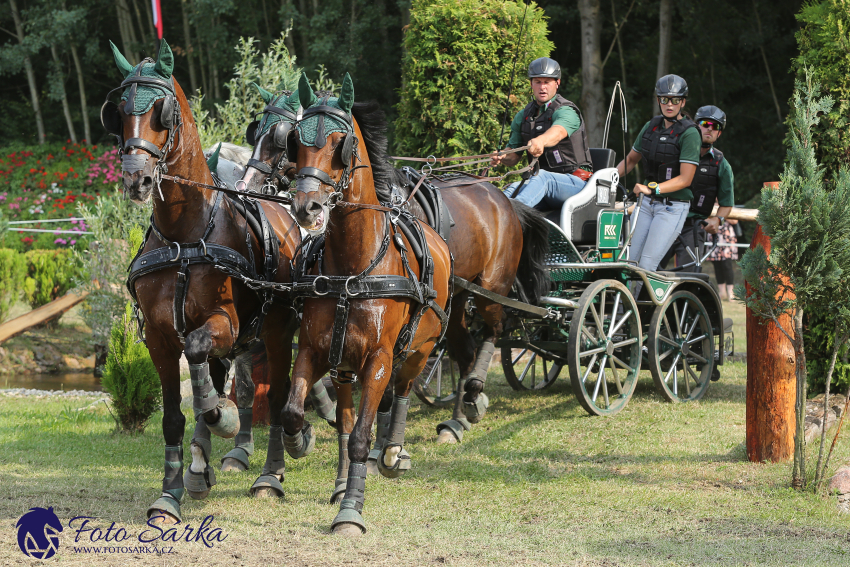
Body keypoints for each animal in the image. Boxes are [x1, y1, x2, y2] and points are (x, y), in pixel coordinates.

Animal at [101, 40, 304, 524]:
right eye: (119, 111)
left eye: (162, 112)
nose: (136, 178)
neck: (185, 234)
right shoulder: (159, 337)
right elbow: (175, 414)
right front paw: (171, 492)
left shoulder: (225, 322)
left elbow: (199, 360)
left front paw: (223, 418)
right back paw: (201, 466)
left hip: (276, 327)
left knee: (279, 391)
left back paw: (270, 473)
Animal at [280, 73, 454, 536]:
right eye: (296, 142)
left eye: (341, 144)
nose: (307, 207)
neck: (353, 269)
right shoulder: (314, 351)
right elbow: (294, 412)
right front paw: (299, 442)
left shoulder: (377, 359)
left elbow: (362, 435)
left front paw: (351, 511)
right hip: (343, 365)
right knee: (344, 417)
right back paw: (342, 480)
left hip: (419, 349)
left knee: (404, 391)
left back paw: (392, 454)